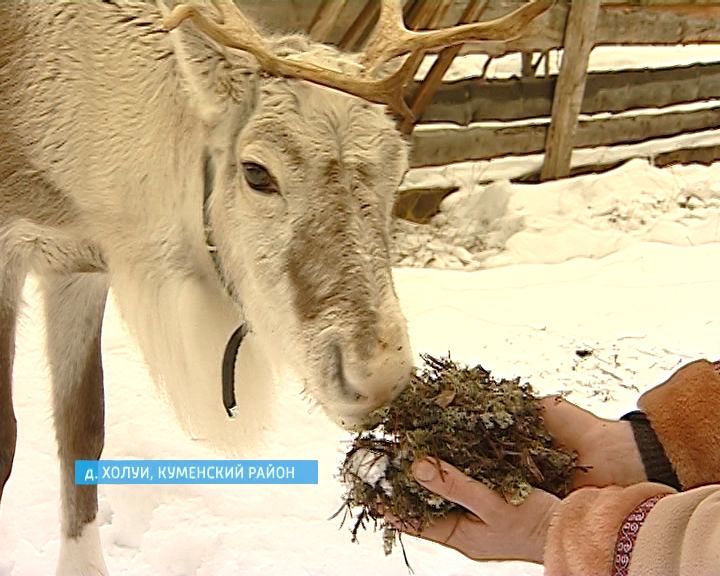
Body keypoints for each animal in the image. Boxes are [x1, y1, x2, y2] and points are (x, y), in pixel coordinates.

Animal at [0, 0, 552, 573]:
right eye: (255, 171)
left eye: (398, 167)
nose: (380, 376)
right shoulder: (11, 249)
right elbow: (7, 440)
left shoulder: (81, 266)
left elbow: (83, 429)